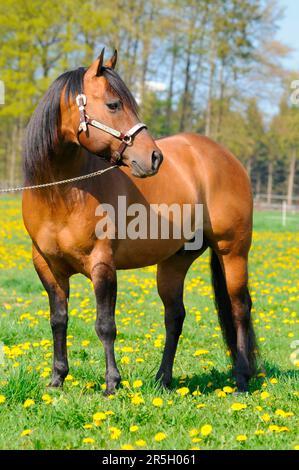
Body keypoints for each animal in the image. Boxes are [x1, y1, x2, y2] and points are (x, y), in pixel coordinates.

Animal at [22, 48, 256, 392]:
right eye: (113, 104)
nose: (154, 157)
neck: (62, 194)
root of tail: (225, 157)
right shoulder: (47, 265)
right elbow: (58, 320)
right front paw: (57, 379)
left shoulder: (102, 263)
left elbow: (105, 324)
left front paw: (111, 383)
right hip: (174, 262)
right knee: (175, 316)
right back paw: (163, 379)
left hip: (233, 252)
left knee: (239, 309)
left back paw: (241, 378)